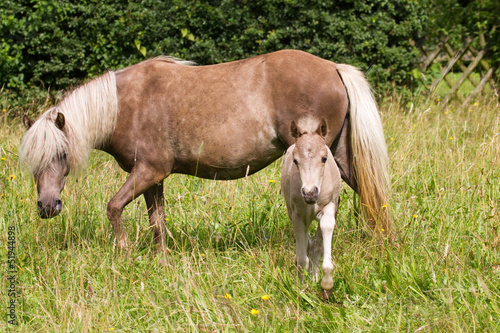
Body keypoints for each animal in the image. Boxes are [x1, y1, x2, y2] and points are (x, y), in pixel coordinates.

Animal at [20, 50, 390, 252]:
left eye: (62, 154)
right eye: (34, 163)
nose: (47, 206)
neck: (125, 105)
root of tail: (333, 67)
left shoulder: (149, 171)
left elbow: (113, 207)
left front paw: (123, 252)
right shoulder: (152, 178)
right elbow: (157, 222)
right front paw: (162, 261)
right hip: (337, 154)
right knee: (369, 193)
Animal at [280, 117, 342, 298]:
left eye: (324, 158)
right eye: (295, 160)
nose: (309, 193)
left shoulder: (329, 207)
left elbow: (324, 232)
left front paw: (326, 284)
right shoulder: (298, 216)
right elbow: (302, 257)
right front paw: (301, 287)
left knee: (315, 246)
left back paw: (314, 278)